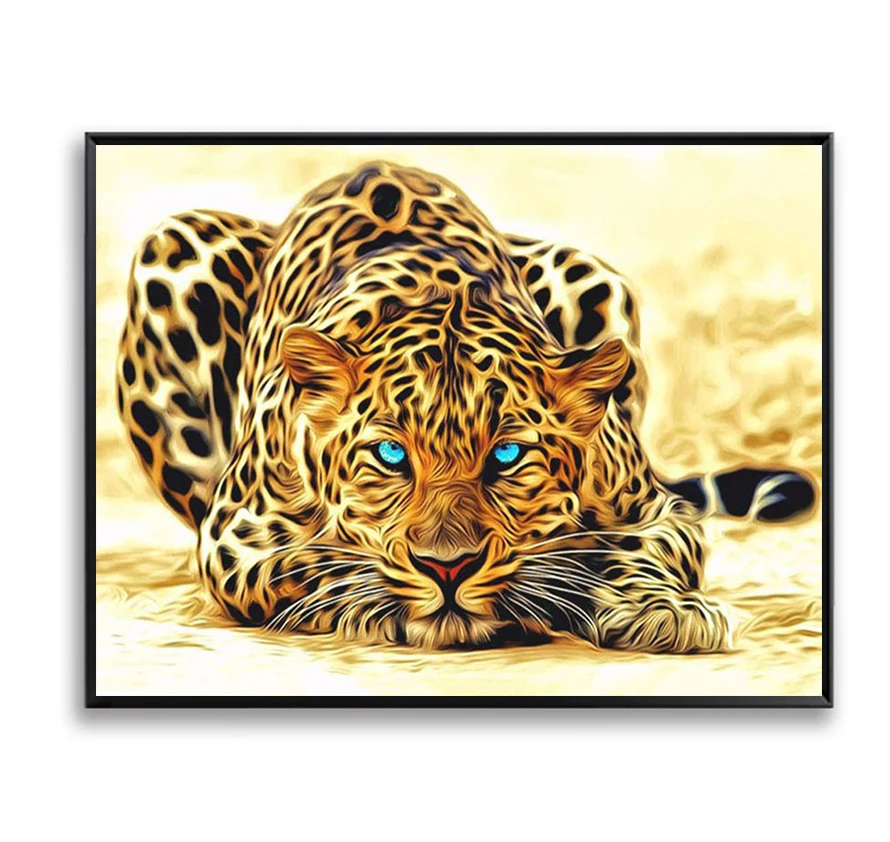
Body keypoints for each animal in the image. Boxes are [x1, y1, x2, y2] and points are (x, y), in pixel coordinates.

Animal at [116, 160, 816, 652]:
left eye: (507, 455)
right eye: (390, 454)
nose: (446, 568)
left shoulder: (656, 510)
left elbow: (630, 550)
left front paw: (662, 609)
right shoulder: (236, 532)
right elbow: (315, 563)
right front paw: (381, 602)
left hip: (592, 272)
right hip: (172, 245)